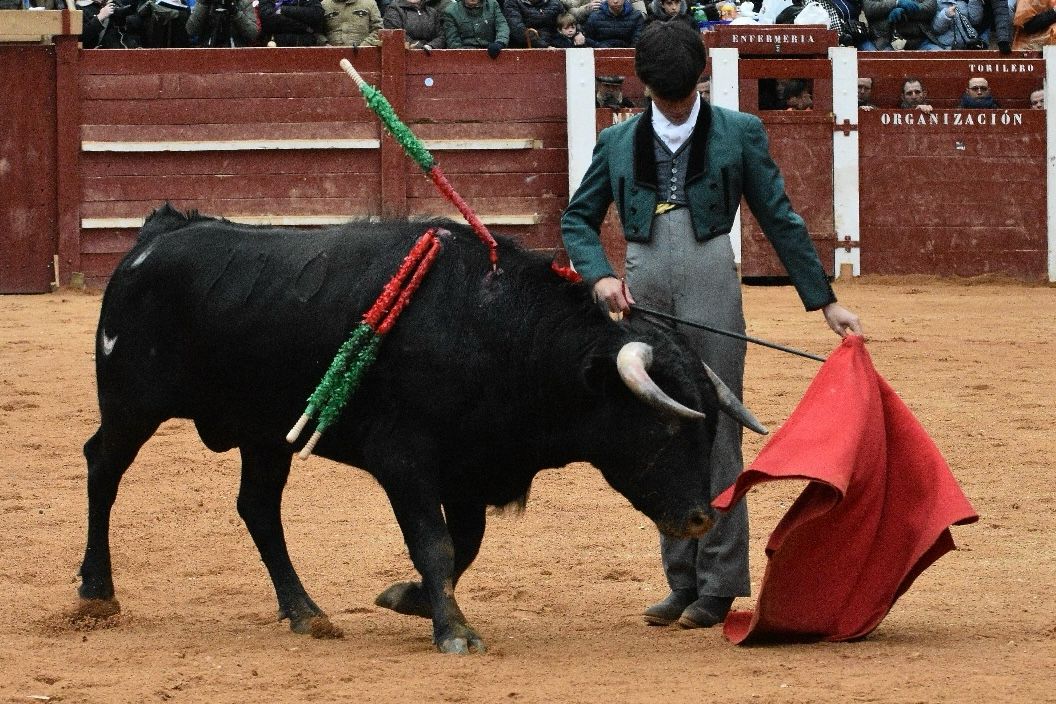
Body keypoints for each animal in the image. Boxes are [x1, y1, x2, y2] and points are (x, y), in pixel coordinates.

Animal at [78, 203, 764, 654]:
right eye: (666, 429)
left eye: (709, 431)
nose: (701, 517)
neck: (497, 328)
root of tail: (157, 235)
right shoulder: (404, 461)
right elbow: (433, 543)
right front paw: (453, 631)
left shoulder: (467, 472)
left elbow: (462, 547)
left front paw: (408, 599)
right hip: (131, 406)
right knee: (102, 468)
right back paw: (96, 593)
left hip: (265, 435)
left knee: (258, 508)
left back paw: (305, 612)